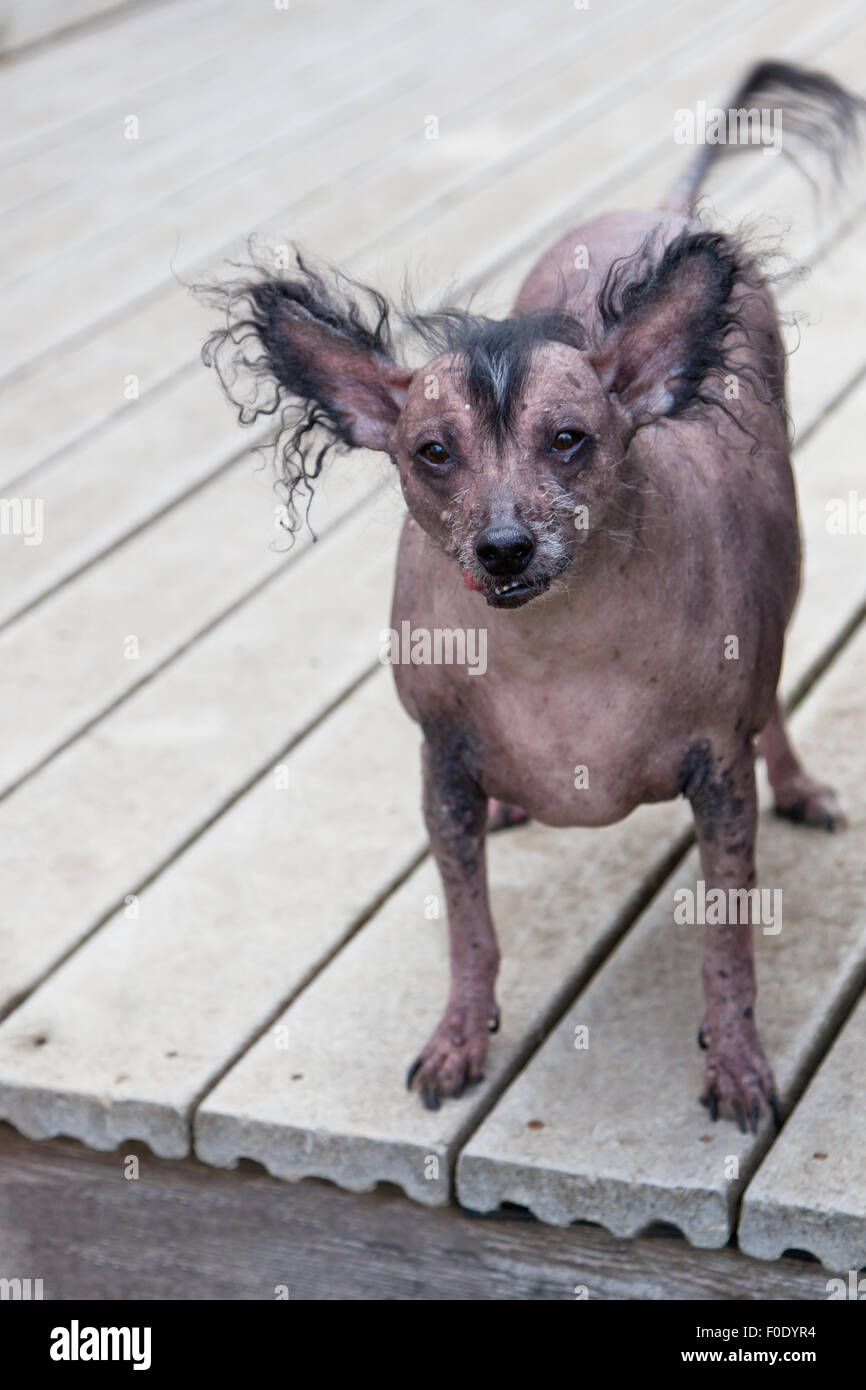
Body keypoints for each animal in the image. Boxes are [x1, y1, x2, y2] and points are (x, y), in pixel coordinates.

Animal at [201, 62, 861, 1128]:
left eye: (569, 440)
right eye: (433, 452)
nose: (505, 548)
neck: (559, 658)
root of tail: (655, 210)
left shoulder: (720, 779)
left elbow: (728, 948)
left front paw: (737, 1063)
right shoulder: (441, 766)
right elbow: (469, 929)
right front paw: (459, 1037)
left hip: (785, 579)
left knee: (776, 696)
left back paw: (799, 782)